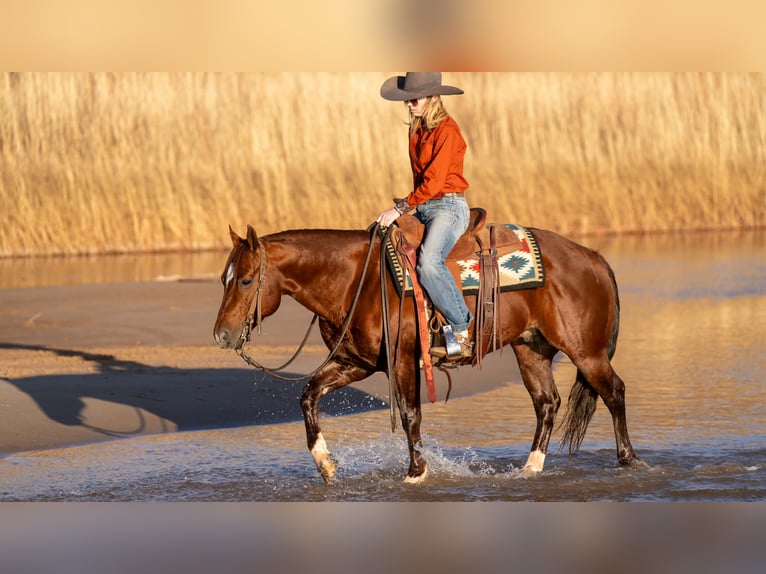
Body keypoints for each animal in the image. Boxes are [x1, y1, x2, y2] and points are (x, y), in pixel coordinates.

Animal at [213, 219, 642, 484]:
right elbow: (308, 395)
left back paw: (628, 460)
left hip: (586, 352)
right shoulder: (356, 363)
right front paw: (326, 465)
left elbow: (409, 415)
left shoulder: (403, 360)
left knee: (614, 391)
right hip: (531, 349)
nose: (221, 335)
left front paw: (416, 472)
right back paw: (530, 469)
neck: (356, 281)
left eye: (247, 280)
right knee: (547, 403)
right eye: (223, 278)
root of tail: (592, 256)